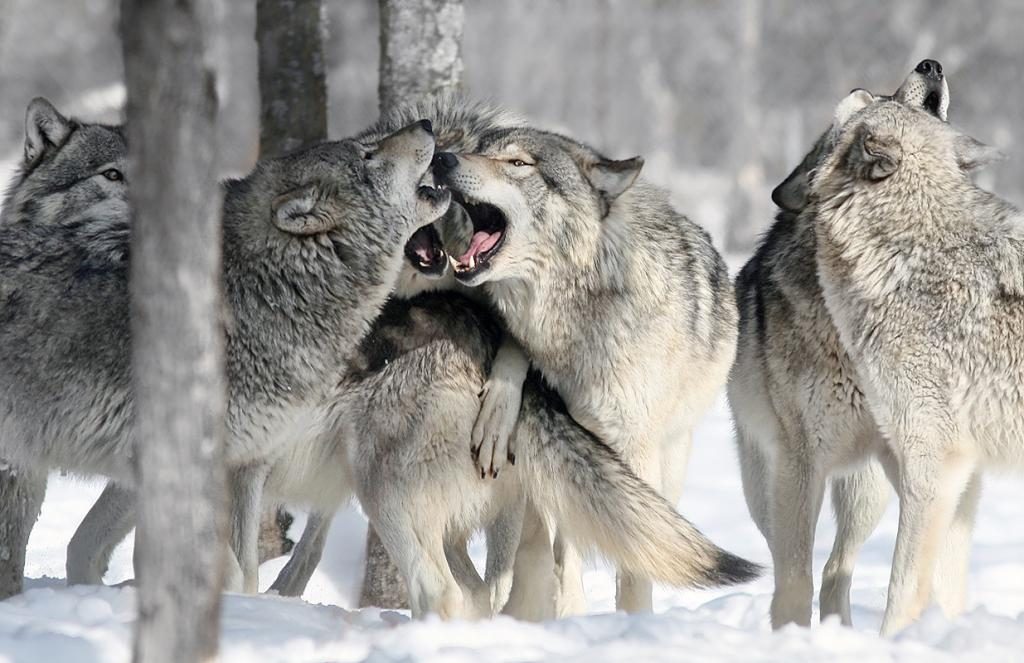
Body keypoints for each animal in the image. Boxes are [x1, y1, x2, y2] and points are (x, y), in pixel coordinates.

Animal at [0, 95, 444, 594]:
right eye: (367, 155)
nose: (427, 123)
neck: (262, 285)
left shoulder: (246, 466)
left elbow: (244, 569)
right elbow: (226, 569)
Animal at [729, 59, 950, 631]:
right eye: (866, 101)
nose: (930, 65)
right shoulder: (799, 462)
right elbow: (793, 577)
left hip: (865, 488)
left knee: (837, 567)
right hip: (765, 484)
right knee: (794, 561)